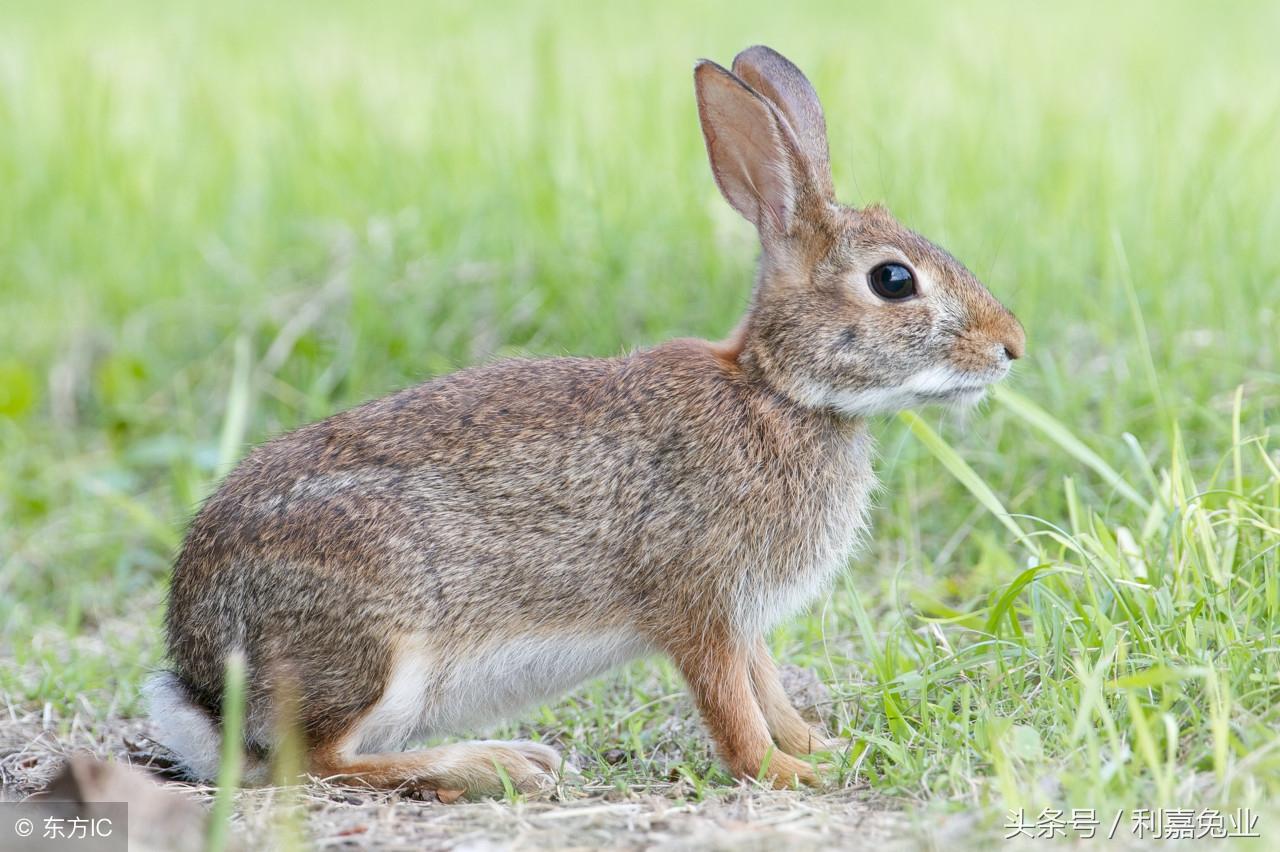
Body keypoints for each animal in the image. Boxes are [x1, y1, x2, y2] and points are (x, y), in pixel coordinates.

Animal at [147, 44, 1029, 798]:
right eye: (893, 280)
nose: (1011, 346)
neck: (777, 392)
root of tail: (201, 689)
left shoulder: (743, 619)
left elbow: (766, 687)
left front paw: (824, 746)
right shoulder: (698, 602)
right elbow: (731, 708)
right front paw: (789, 774)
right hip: (374, 639)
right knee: (318, 762)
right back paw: (497, 766)